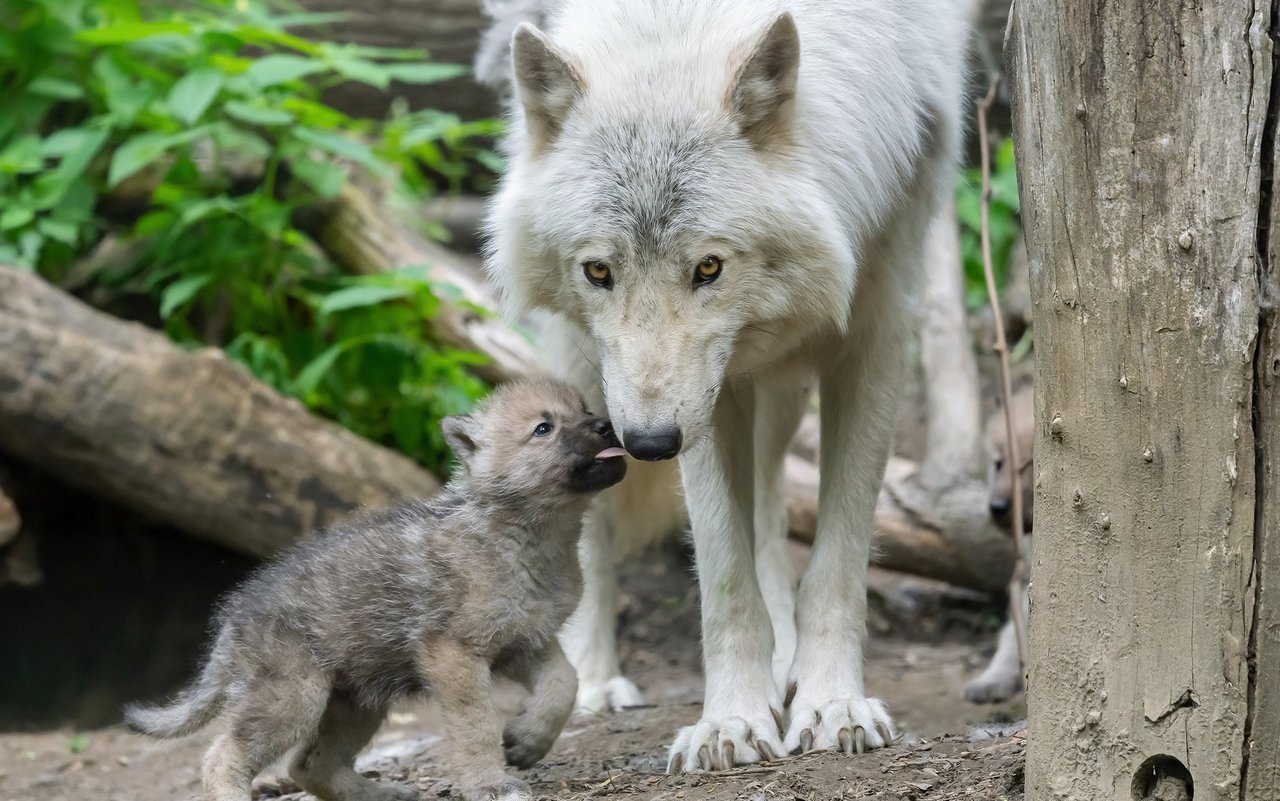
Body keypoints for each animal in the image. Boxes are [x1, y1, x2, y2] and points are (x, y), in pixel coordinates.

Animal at [476, 0, 962, 772]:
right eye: (598, 270)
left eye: (709, 268)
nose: (647, 443)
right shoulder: (700, 398)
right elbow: (725, 573)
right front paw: (730, 722)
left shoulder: (877, 329)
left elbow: (836, 561)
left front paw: (832, 704)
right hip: (592, 370)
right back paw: (593, 676)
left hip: (769, 385)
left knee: (771, 500)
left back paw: (786, 662)